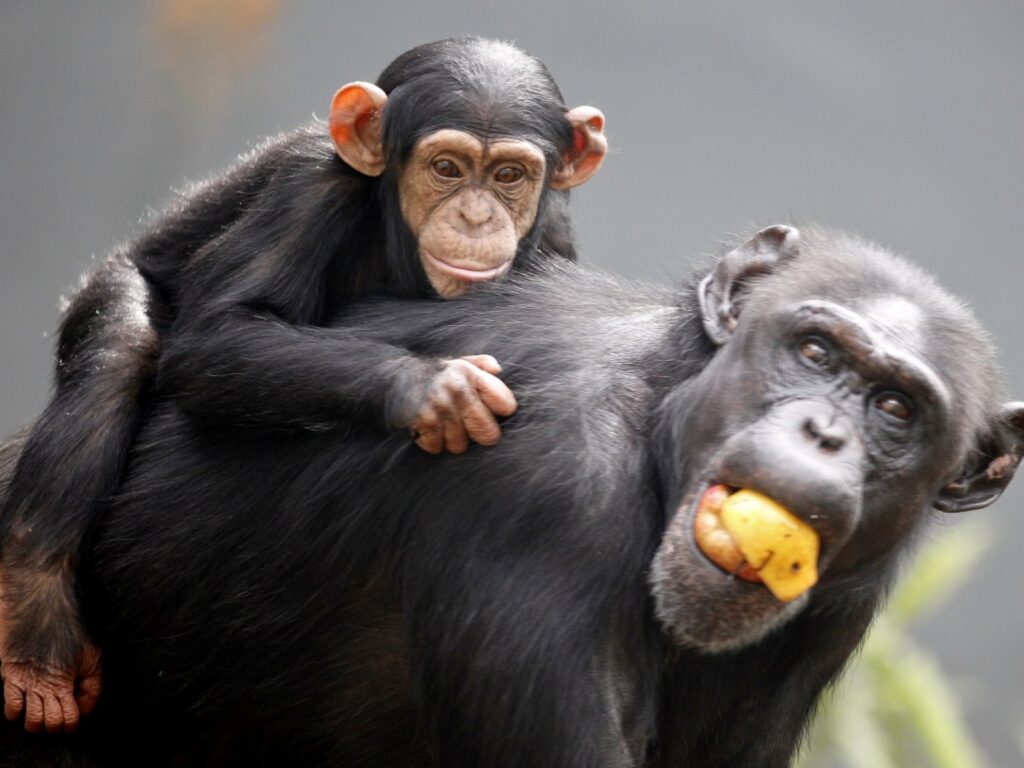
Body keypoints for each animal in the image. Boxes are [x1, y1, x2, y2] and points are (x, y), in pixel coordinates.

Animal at [0, 36, 606, 733]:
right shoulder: (309, 190)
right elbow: (219, 333)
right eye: (447, 168)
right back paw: (36, 631)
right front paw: (433, 387)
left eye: (509, 176)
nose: (477, 215)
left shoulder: (553, 240)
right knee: (119, 351)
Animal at [4, 225, 1019, 765]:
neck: (662, 419)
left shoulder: (828, 622)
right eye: (813, 351)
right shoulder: (548, 502)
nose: (825, 432)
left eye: (896, 407)